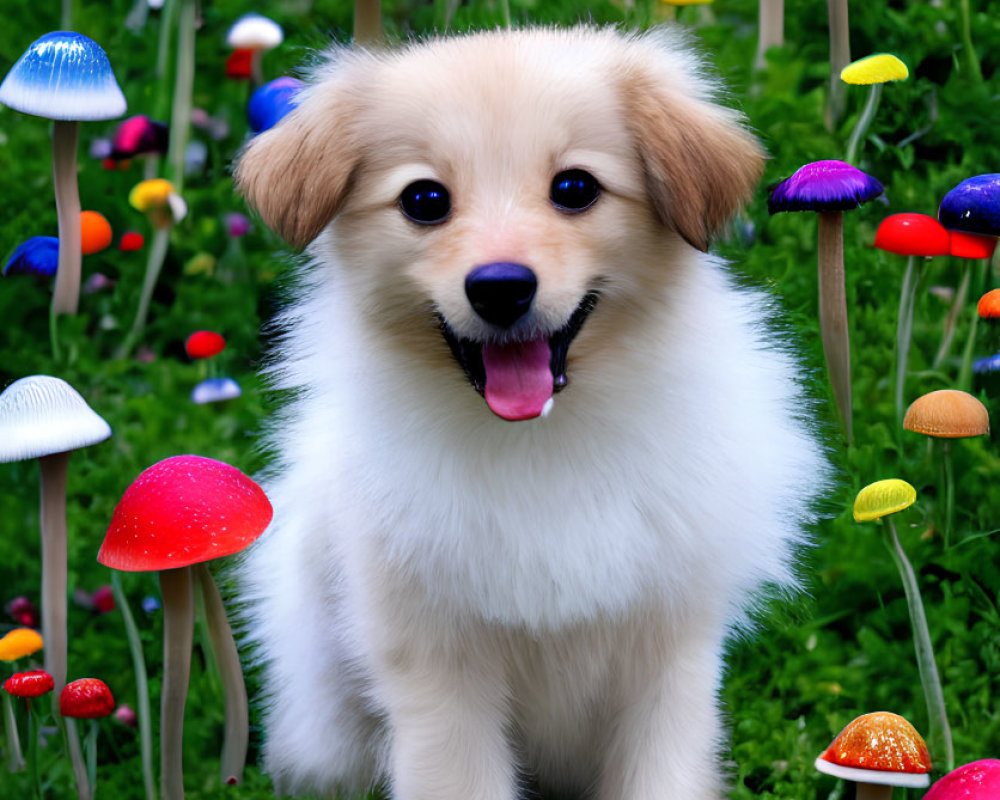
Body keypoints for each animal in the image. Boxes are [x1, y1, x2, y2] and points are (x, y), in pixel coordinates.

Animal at [236, 25, 828, 800]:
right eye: (424, 200)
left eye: (574, 188)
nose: (500, 288)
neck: (544, 440)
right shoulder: (435, 670)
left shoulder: (668, 657)